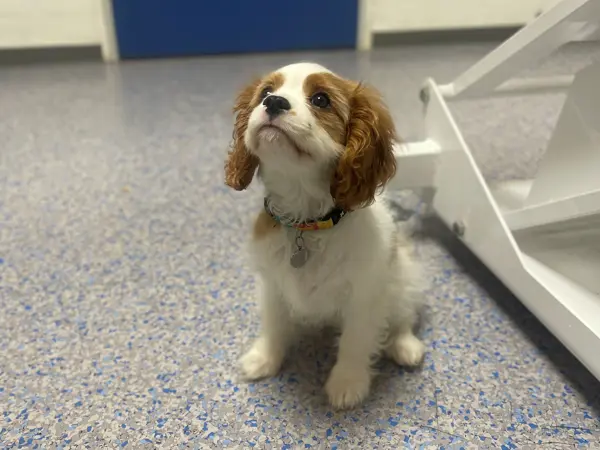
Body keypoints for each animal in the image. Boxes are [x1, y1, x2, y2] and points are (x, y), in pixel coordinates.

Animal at [224, 62, 425, 409]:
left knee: (402, 317)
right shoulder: (272, 285)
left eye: (320, 100)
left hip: (404, 279)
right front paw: (264, 359)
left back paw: (405, 346)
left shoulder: (365, 295)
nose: (273, 102)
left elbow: (356, 340)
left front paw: (348, 383)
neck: (306, 222)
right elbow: (274, 324)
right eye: (265, 92)